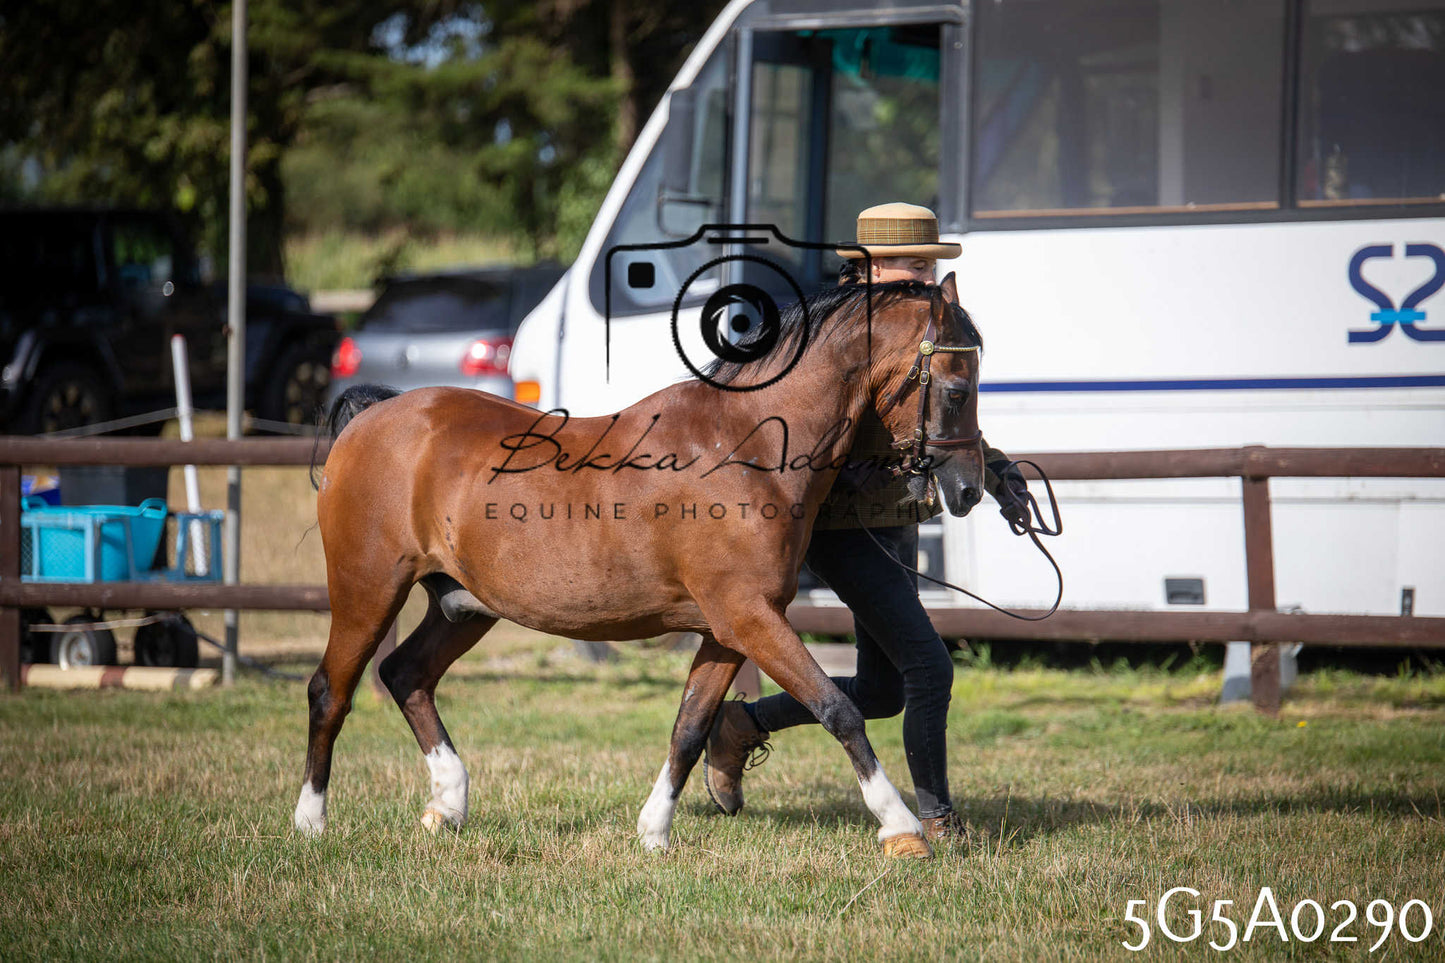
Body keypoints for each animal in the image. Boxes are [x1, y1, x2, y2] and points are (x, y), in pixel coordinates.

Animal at [295, 272, 986, 857]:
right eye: (957, 389)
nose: (969, 489)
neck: (751, 448)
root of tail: (372, 419)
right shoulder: (750, 619)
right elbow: (836, 709)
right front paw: (900, 829)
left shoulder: (727, 630)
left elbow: (690, 728)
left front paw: (653, 833)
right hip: (367, 590)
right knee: (331, 690)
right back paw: (311, 822)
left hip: (463, 606)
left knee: (406, 673)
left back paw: (448, 804)